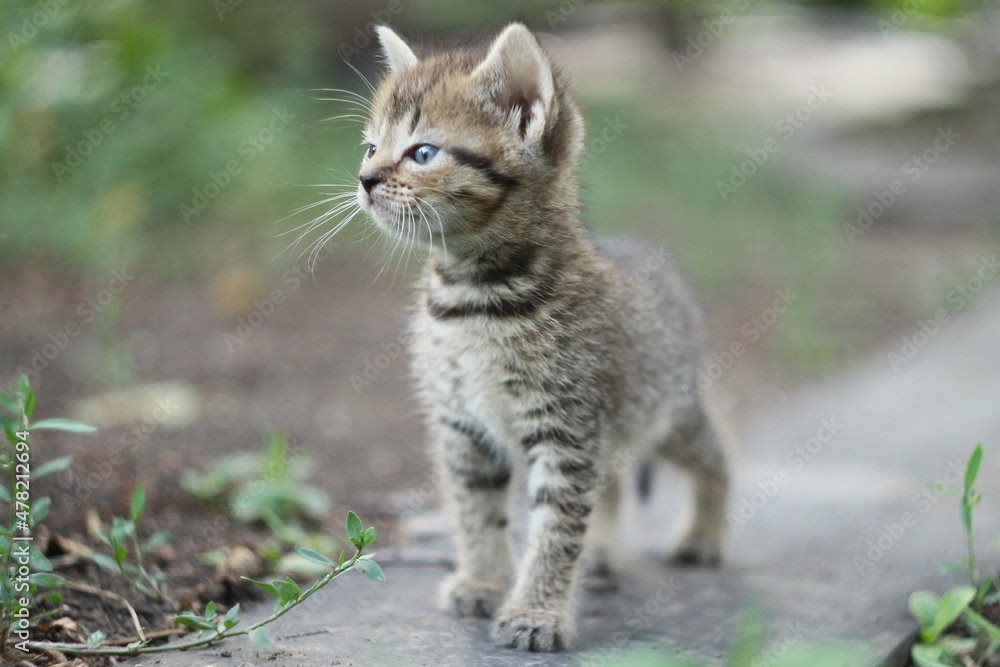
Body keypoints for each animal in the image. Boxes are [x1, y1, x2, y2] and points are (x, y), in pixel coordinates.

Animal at [356, 22, 732, 652]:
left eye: (423, 153)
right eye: (369, 147)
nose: (363, 180)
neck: (475, 298)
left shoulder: (567, 427)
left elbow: (555, 527)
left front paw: (537, 611)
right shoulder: (463, 427)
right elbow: (476, 512)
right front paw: (484, 581)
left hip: (667, 410)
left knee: (715, 453)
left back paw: (705, 533)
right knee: (611, 487)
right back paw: (602, 551)